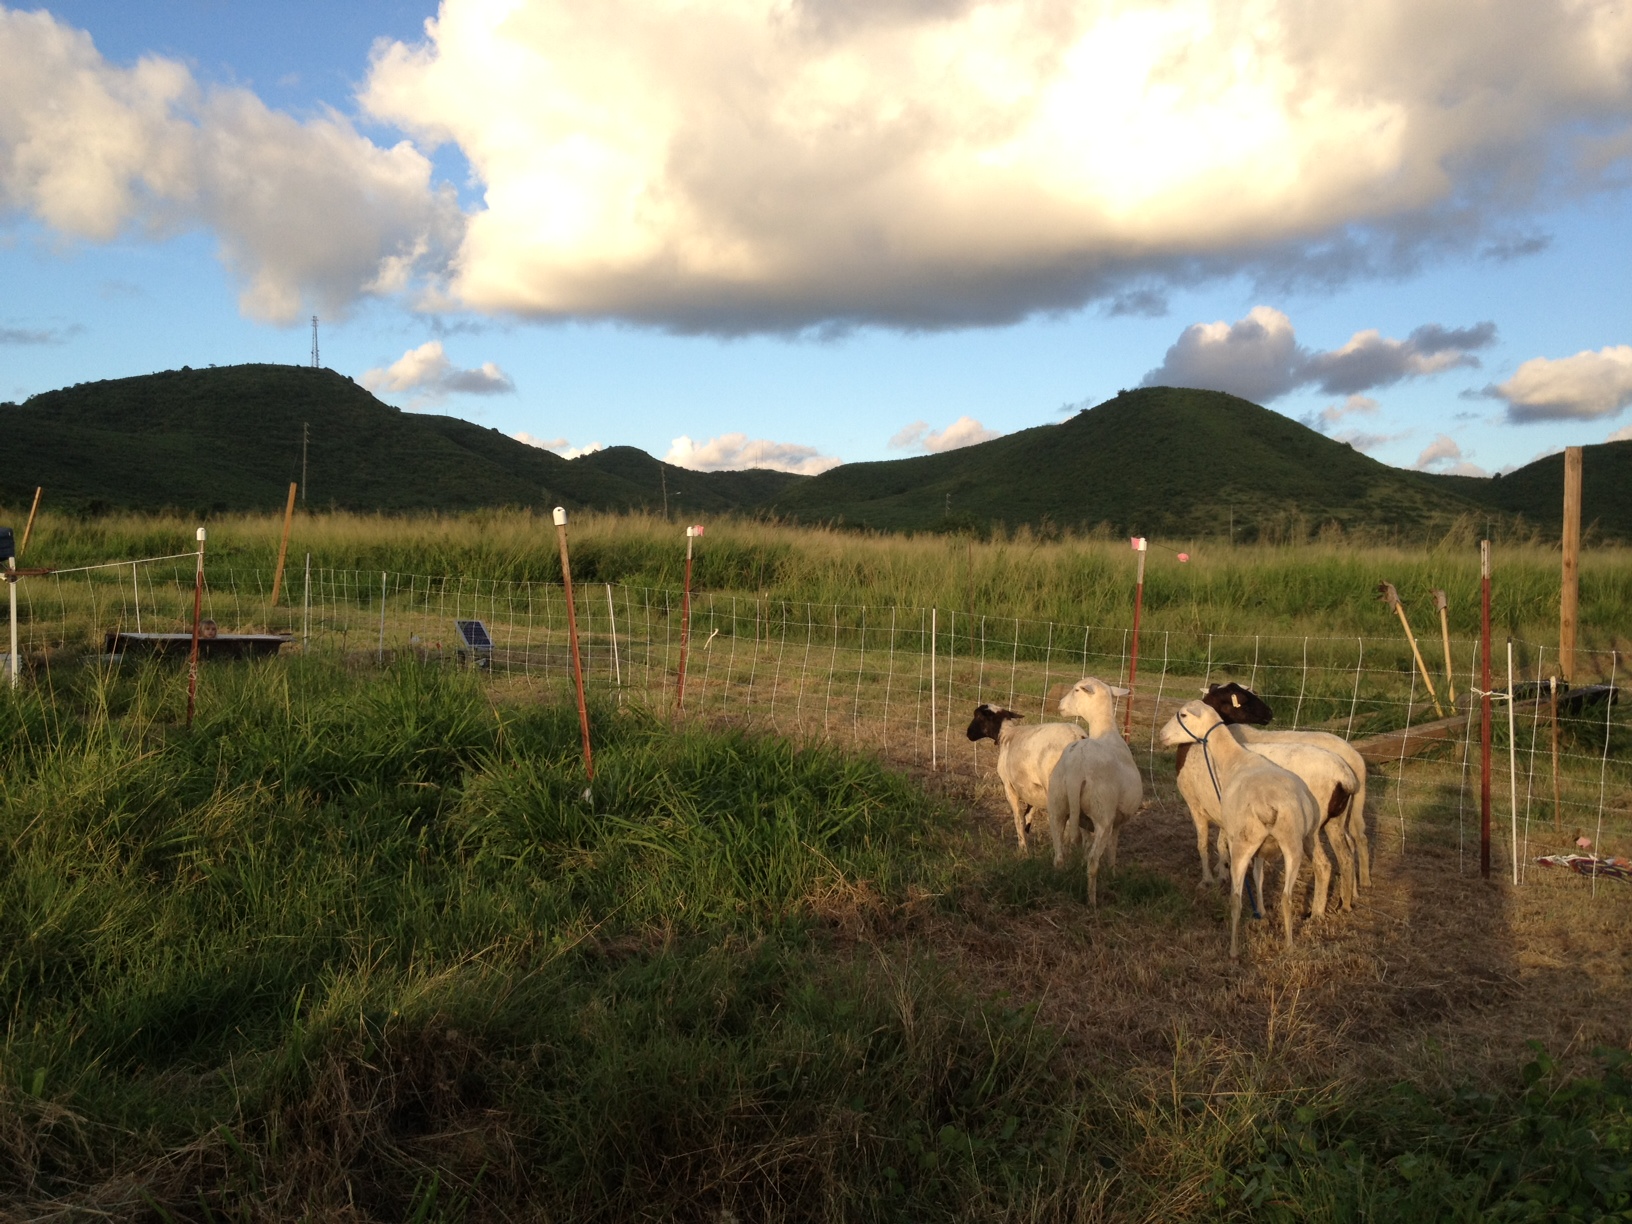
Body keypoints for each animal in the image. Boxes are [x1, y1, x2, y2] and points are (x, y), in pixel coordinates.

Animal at [966, 703, 1086, 851]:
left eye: (978, 716)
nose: (968, 733)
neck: (1005, 734)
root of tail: (1077, 737)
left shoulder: (1008, 786)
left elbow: (1018, 817)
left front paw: (1022, 848)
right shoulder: (1034, 789)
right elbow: (1028, 814)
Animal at [1047, 678, 1143, 904]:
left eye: (1075, 690)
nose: (1060, 705)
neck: (1105, 730)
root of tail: (1076, 767)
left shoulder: (1082, 821)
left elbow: (1085, 844)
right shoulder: (1116, 822)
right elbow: (1112, 851)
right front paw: (1113, 874)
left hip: (1057, 806)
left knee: (1059, 855)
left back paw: (1057, 884)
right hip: (1103, 815)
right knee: (1093, 861)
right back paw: (1092, 901)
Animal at [1159, 699, 1332, 958]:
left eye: (1183, 715)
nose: (1161, 735)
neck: (1235, 758)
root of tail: (1269, 806)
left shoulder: (1236, 839)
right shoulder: (1262, 848)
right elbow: (1259, 876)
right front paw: (1261, 912)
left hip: (1244, 843)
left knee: (1236, 899)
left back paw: (1233, 950)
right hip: (1293, 845)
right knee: (1286, 898)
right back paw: (1290, 945)